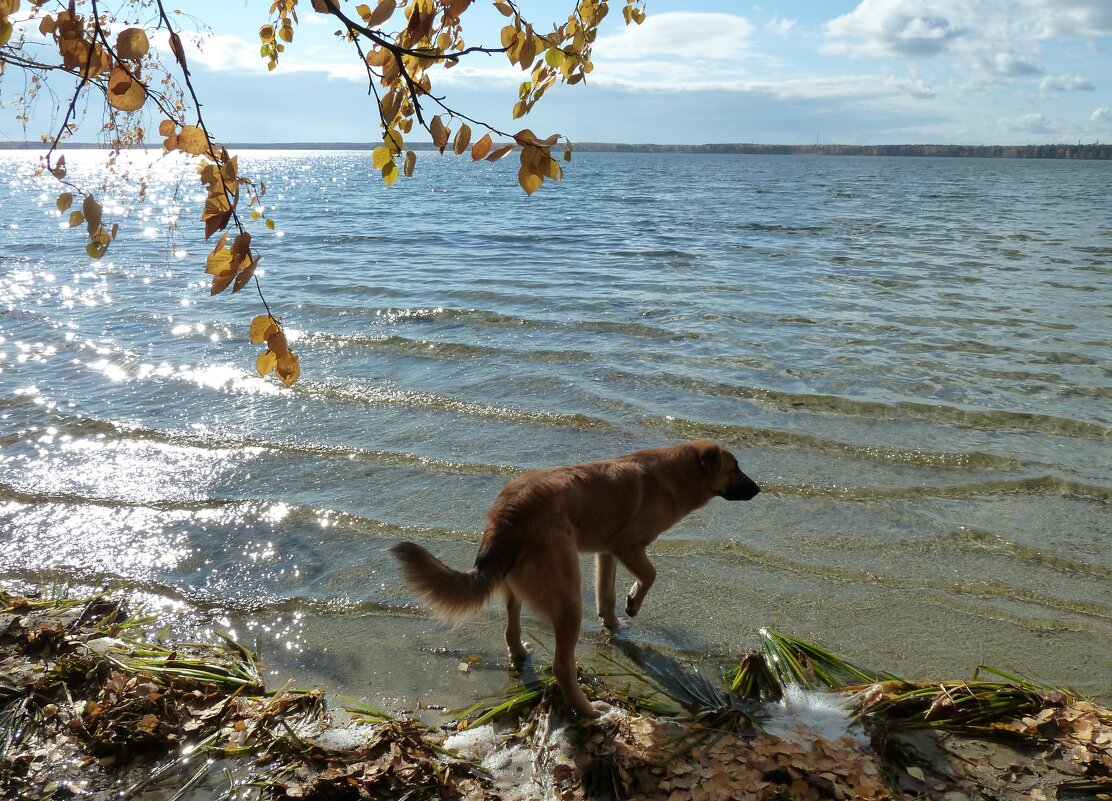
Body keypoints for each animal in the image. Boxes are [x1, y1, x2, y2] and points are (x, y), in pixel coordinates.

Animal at [386, 440, 760, 716]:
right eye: (735, 468)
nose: (759, 489)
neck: (671, 474)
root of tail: (507, 513)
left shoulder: (606, 553)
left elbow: (607, 595)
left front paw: (614, 623)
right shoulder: (627, 547)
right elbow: (651, 575)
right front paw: (633, 603)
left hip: (516, 589)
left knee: (511, 630)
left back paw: (520, 655)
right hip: (568, 598)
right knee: (562, 666)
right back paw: (589, 710)